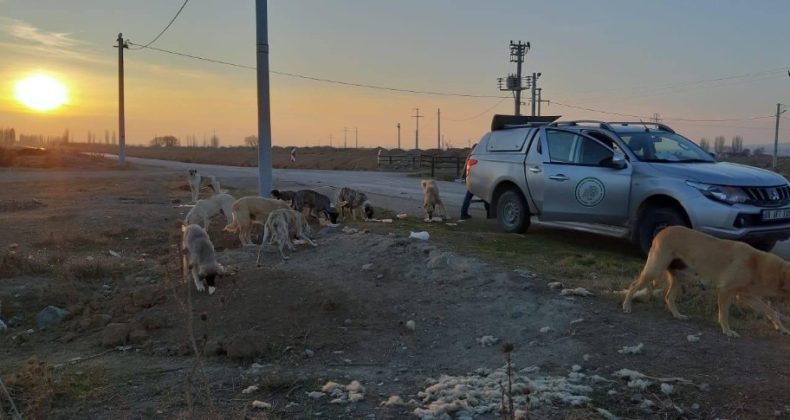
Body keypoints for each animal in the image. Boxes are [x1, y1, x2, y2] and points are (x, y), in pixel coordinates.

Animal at [624, 226, 790, 338]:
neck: (759, 265)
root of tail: (663, 231)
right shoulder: (725, 291)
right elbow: (724, 314)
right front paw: (727, 330)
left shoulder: (746, 296)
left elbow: (771, 311)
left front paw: (781, 328)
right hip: (655, 269)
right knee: (633, 285)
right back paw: (626, 306)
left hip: (680, 277)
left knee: (668, 297)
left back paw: (678, 315)